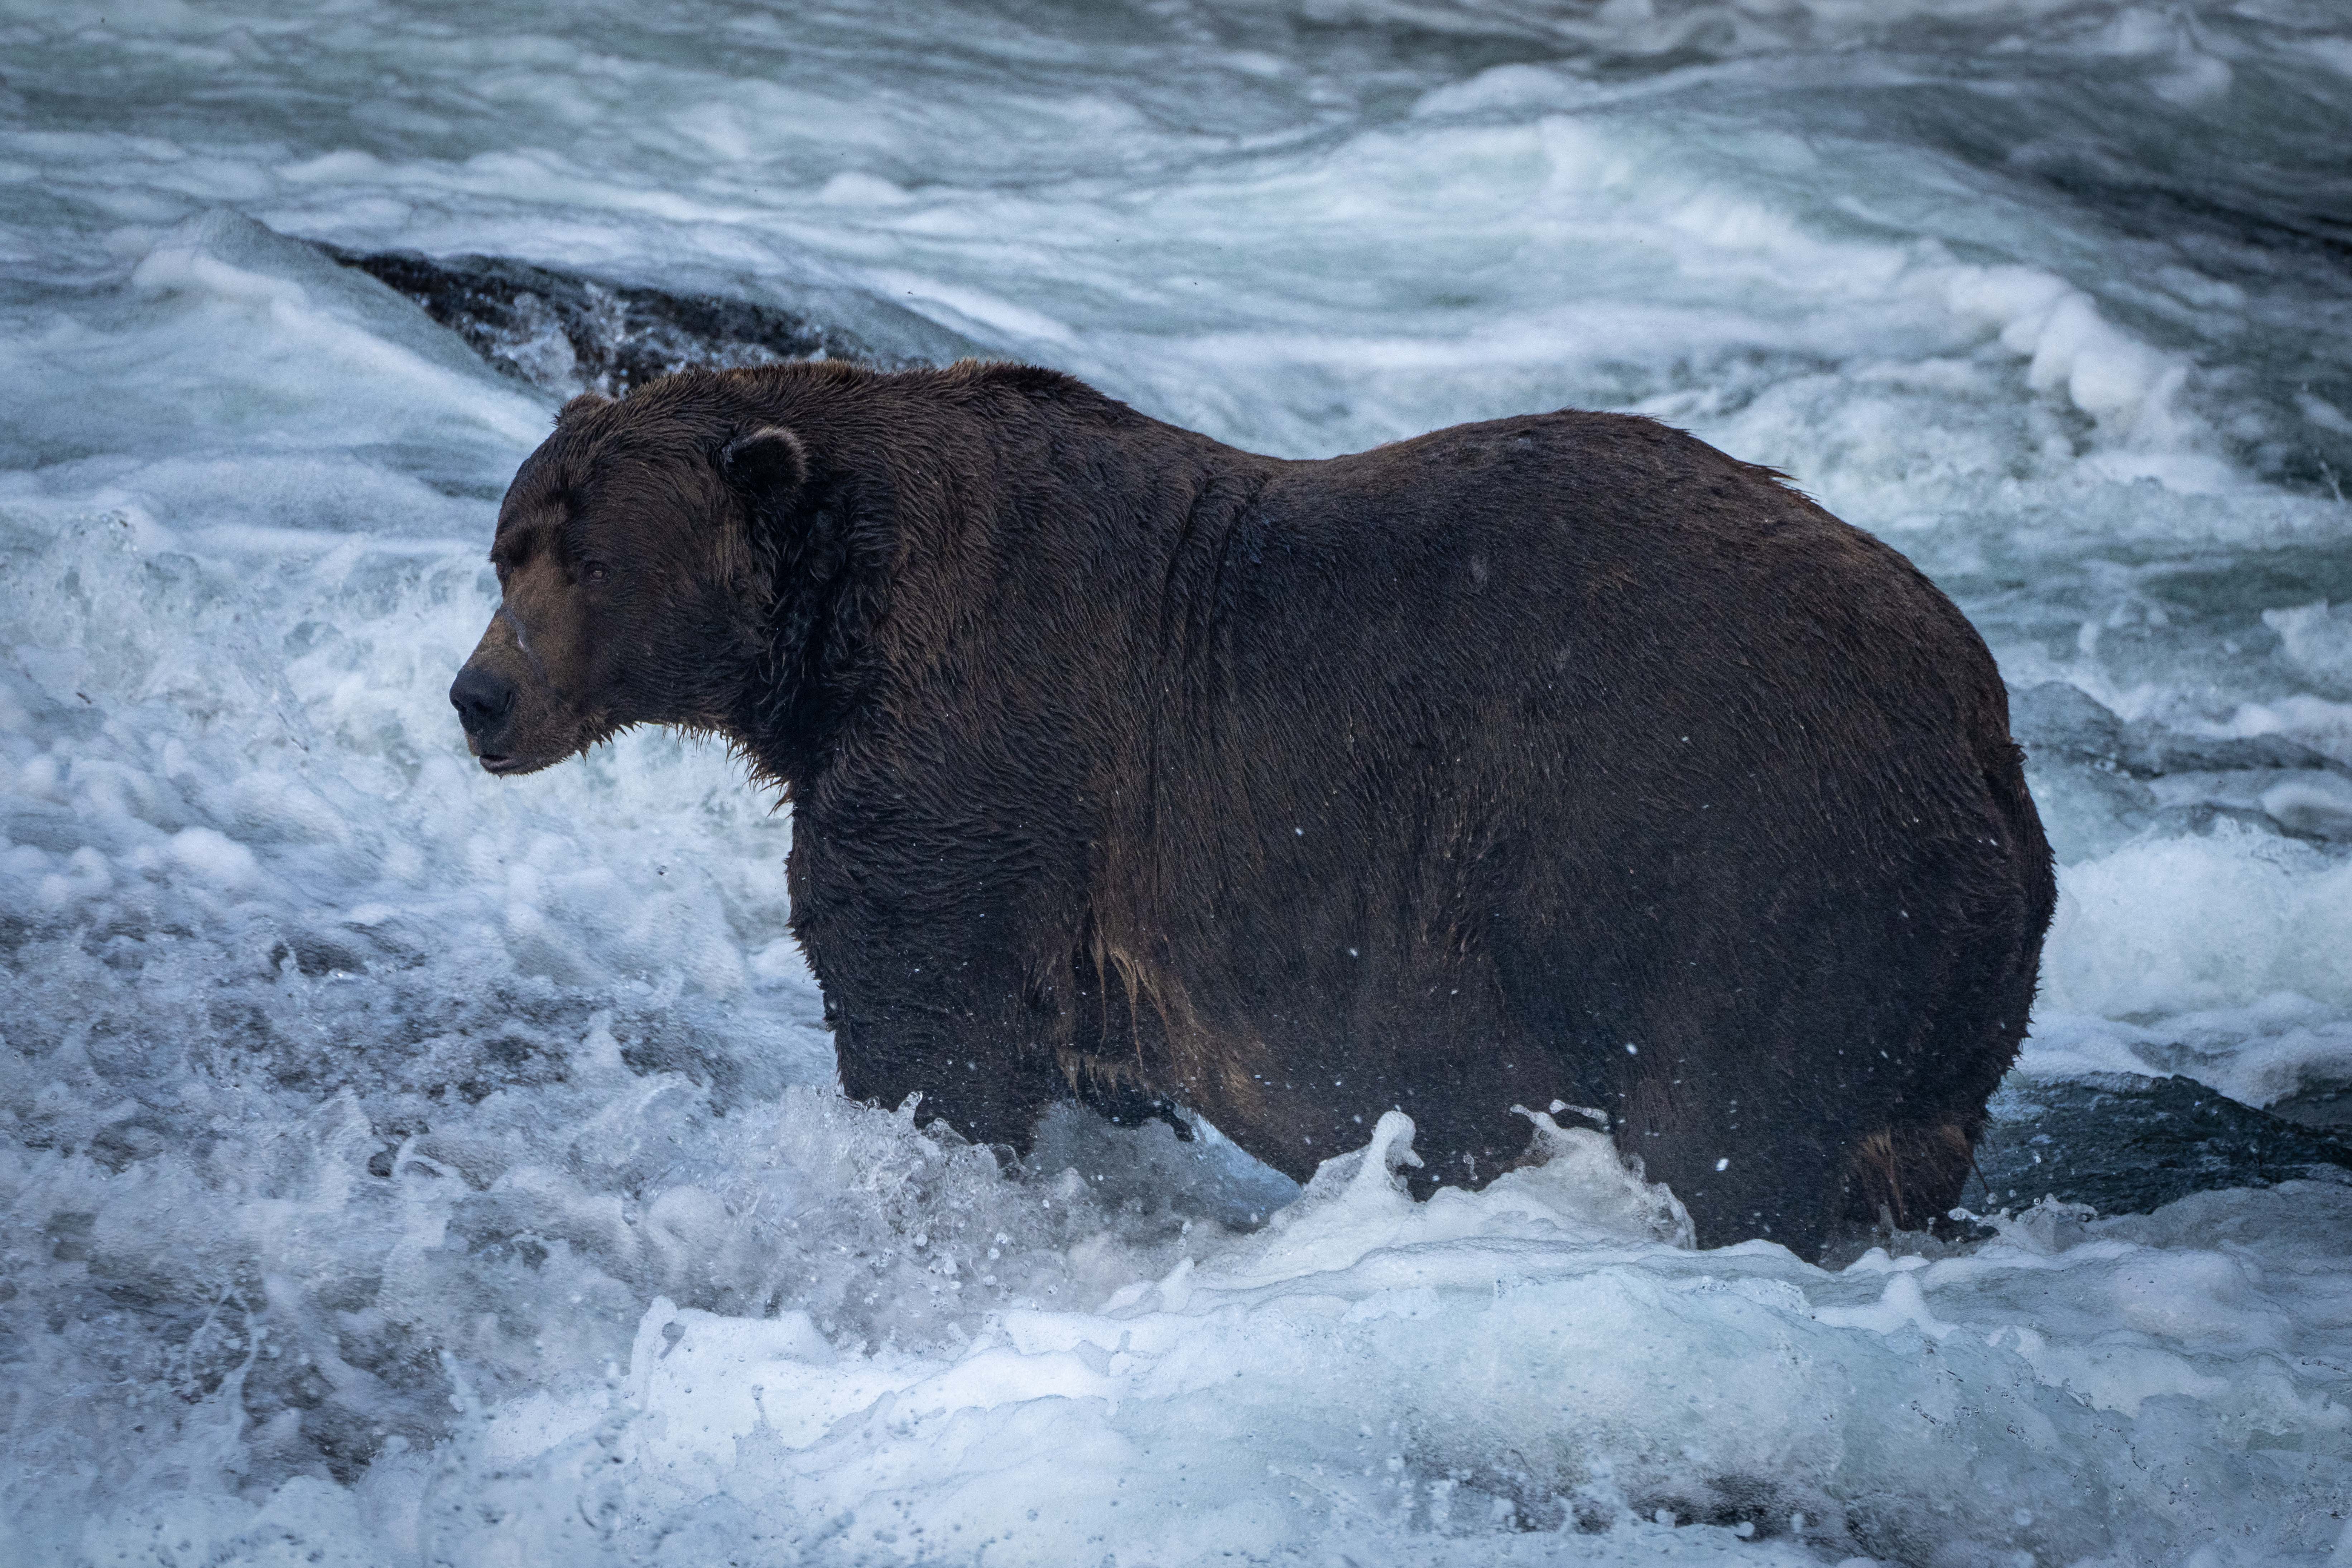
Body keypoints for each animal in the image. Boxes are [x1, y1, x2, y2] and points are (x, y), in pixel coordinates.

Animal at [449, 362, 2051, 1260]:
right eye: (508, 543)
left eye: (586, 558)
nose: (478, 696)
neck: (830, 632)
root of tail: (1981, 730)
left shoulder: (980, 763)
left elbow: (927, 1019)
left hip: (1737, 879)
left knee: (1731, 1129)